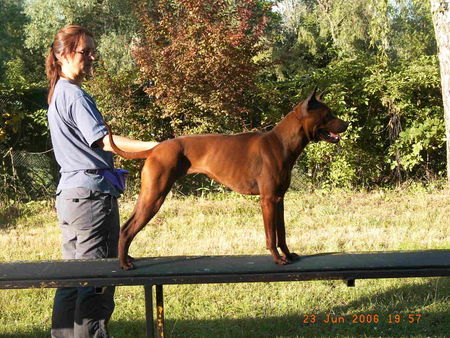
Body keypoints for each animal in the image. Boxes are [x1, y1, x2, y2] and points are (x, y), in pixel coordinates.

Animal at [108, 89, 348, 270]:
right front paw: (277, 258)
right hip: (155, 196)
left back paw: (126, 258)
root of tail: (155, 148)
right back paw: (124, 263)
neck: (282, 142)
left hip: (149, 194)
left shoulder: (279, 199)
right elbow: (271, 236)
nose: (346, 125)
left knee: (126, 226)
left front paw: (288, 255)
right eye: (328, 115)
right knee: (128, 228)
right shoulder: (267, 200)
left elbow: (281, 233)